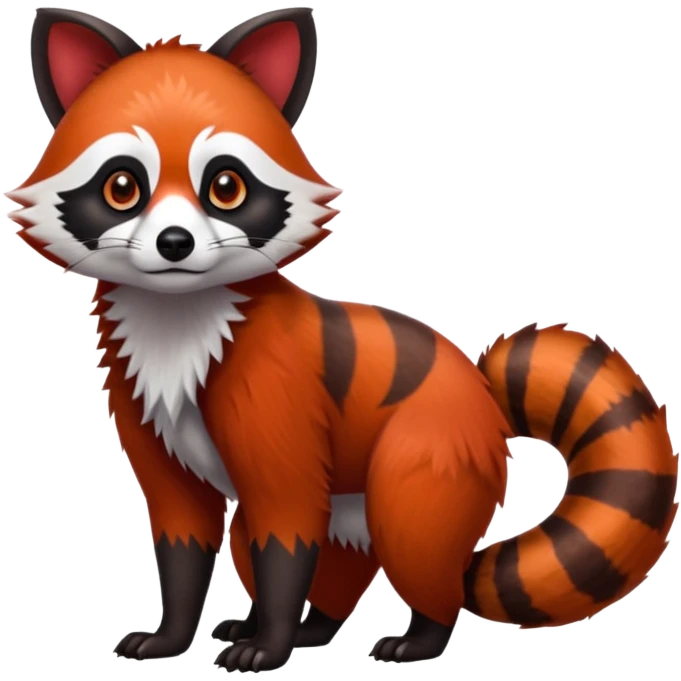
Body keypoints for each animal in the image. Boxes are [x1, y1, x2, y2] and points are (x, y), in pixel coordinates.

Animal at [6, 5, 679, 674]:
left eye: (226, 187)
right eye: (122, 187)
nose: (175, 244)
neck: (176, 318)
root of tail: (480, 390)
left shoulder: (275, 394)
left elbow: (285, 521)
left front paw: (270, 643)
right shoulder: (147, 408)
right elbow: (184, 530)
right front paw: (176, 635)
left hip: (425, 451)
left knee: (410, 538)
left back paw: (419, 634)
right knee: (305, 548)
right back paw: (313, 624)